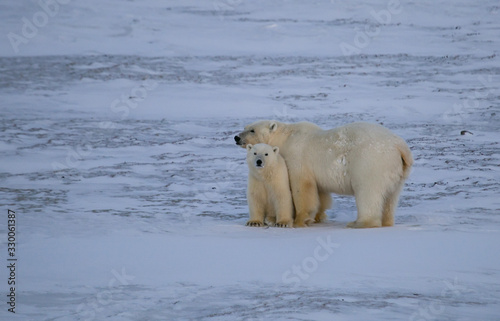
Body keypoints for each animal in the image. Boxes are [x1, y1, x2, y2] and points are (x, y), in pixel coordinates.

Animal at [234, 120, 414, 228]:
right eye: (244, 128)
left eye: (252, 130)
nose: (236, 137)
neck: (286, 138)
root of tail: (400, 146)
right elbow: (320, 193)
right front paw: (318, 217)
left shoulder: (297, 157)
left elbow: (302, 187)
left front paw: (299, 220)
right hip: (396, 171)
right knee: (391, 196)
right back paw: (387, 221)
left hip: (371, 162)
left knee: (368, 192)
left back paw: (359, 223)